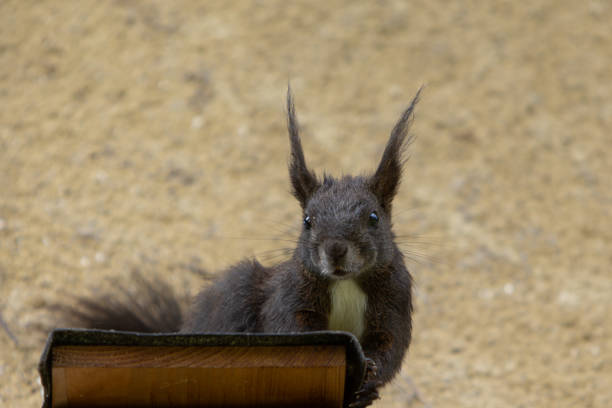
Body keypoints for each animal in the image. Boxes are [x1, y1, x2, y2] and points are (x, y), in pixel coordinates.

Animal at [67, 87, 420, 408]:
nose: (335, 249)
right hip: (235, 293)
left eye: (373, 217)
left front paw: (371, 376)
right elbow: (292, 330)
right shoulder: (288, 299)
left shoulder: (394, 299)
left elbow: (390, 344)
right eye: (307, 220)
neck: (344, 283)